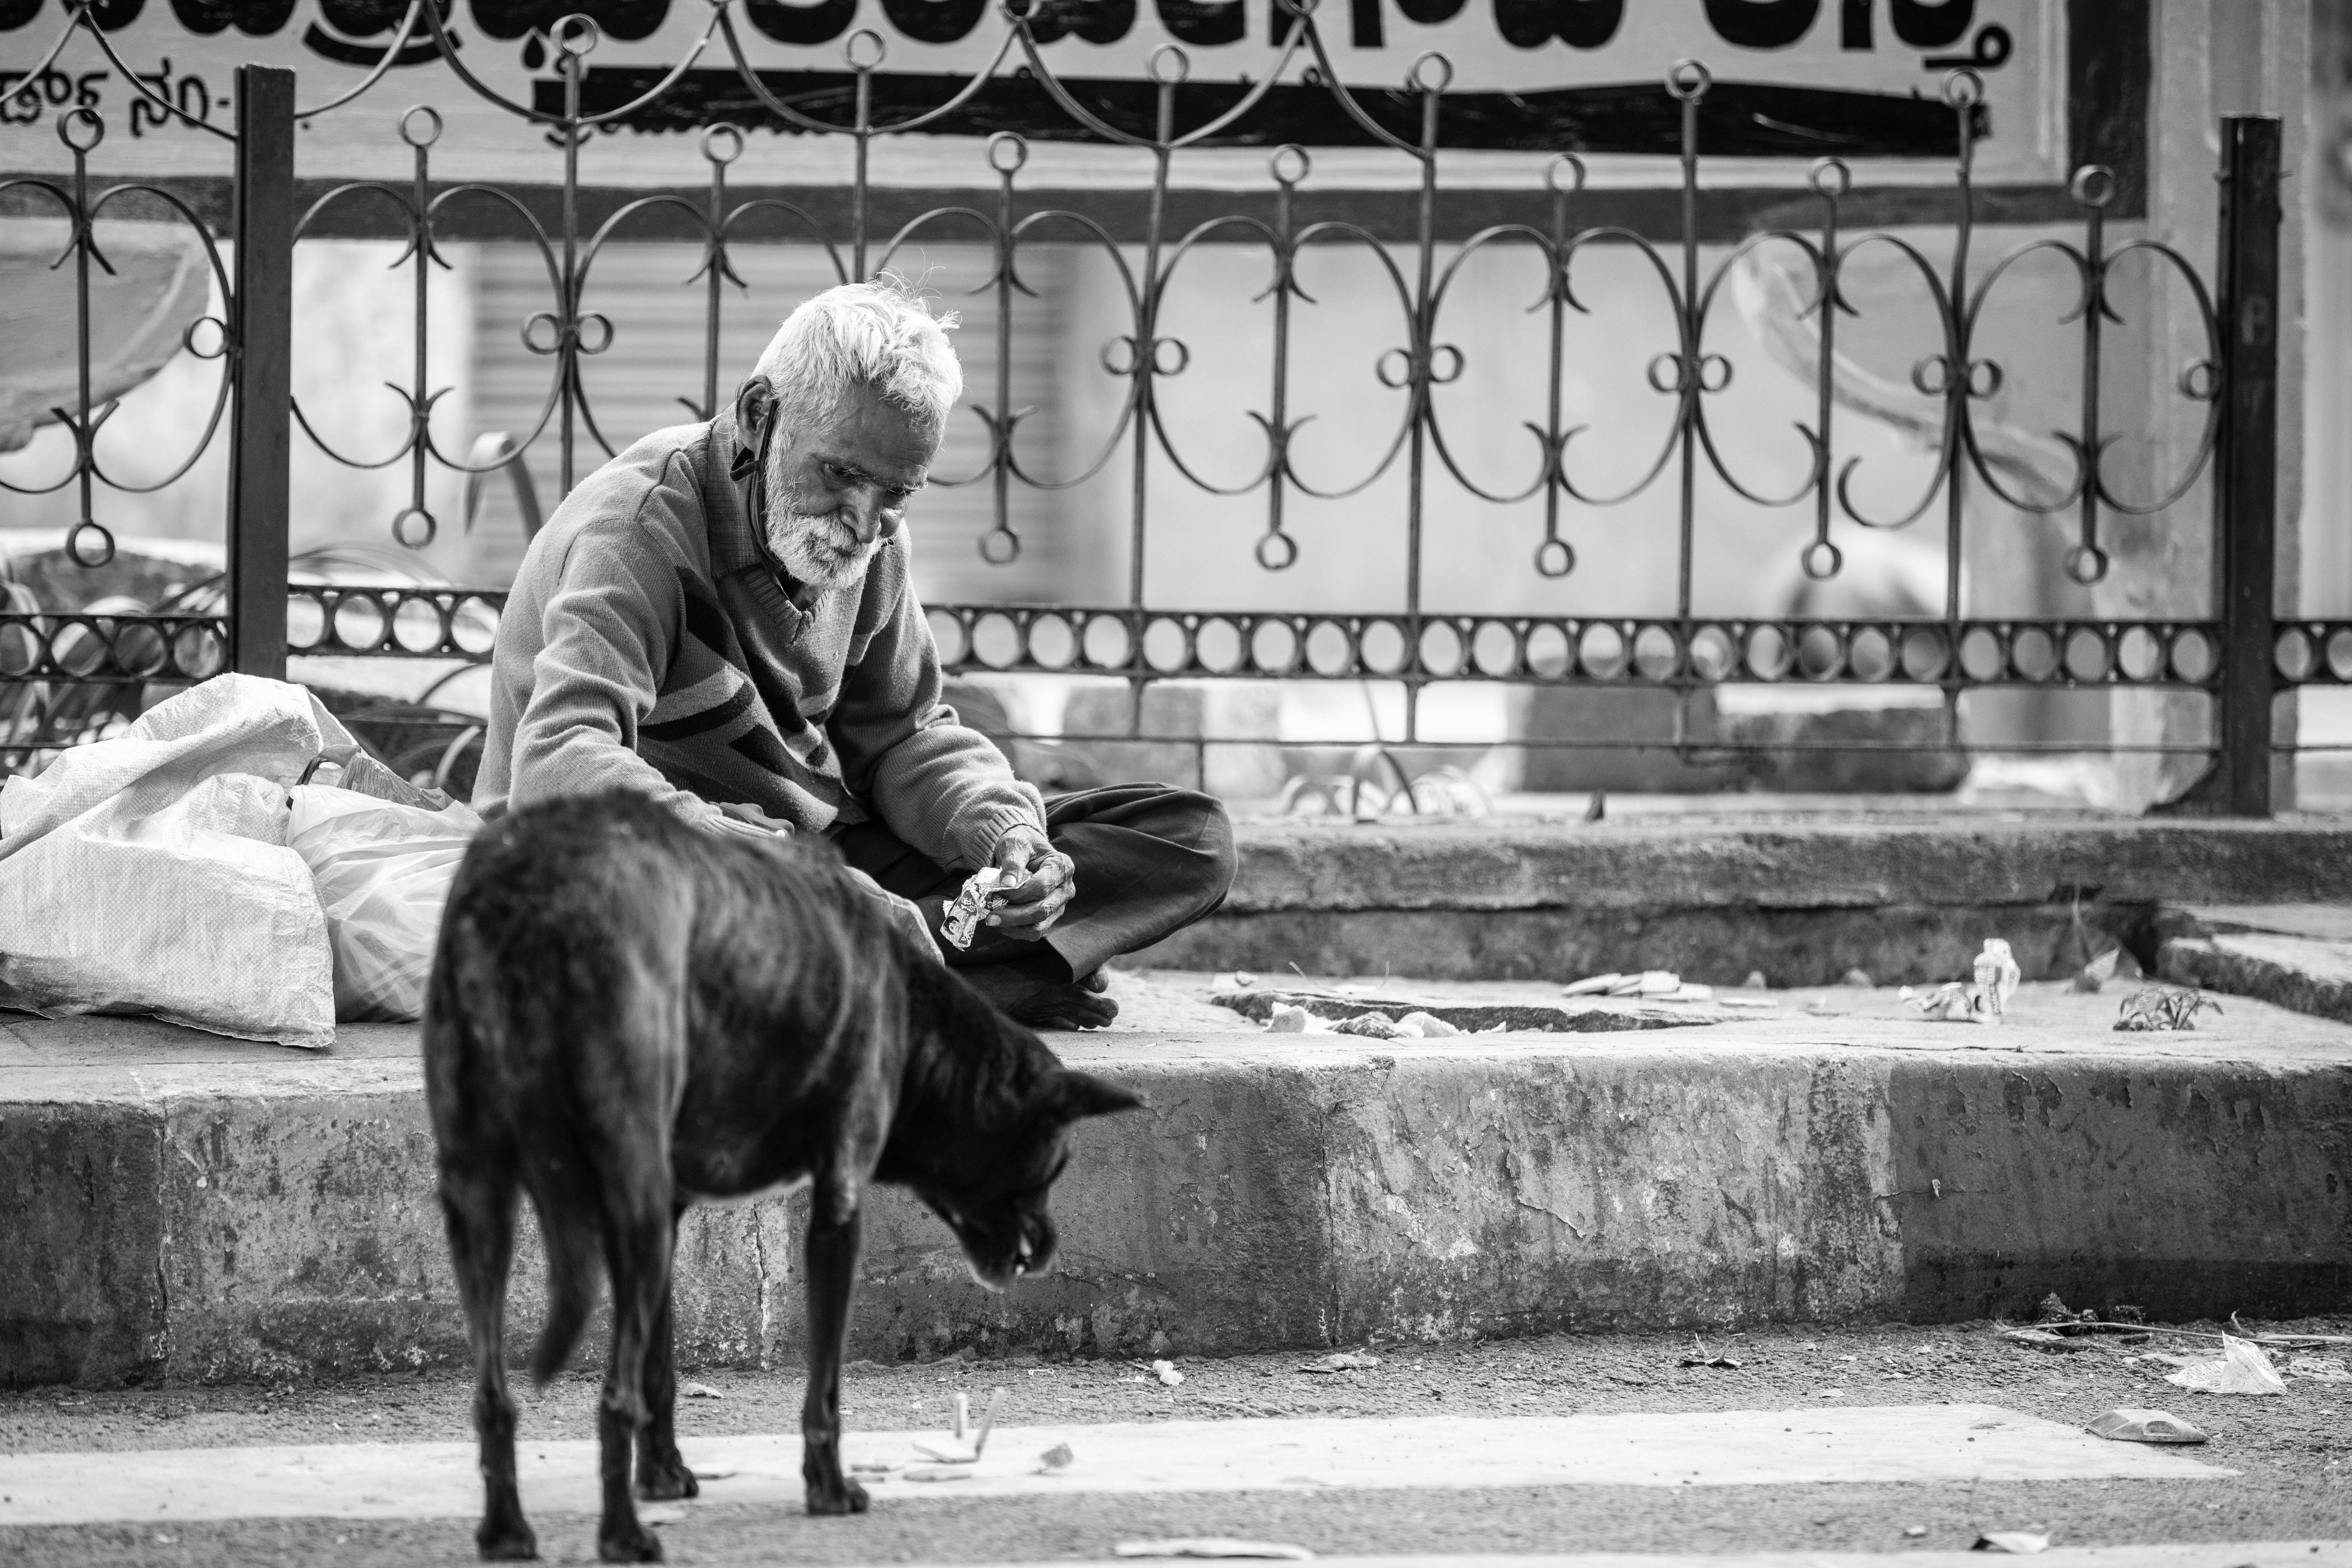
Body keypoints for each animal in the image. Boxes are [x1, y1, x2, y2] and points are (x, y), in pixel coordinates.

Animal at [423, 799, 1138, 1561]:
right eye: (1052, 1166)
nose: (1051, 1250)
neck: (912, 1009)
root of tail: (536, 890)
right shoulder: (834, 1208)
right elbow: (823, 1387)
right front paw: (828, 1488)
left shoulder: (671, 1214)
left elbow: (660, 1369)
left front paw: (664, 1474)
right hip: (629, 1209)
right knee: (611, 1397)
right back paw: (622, 1535)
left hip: (483, 1205)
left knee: (494, 1397)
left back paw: (507, 1530)